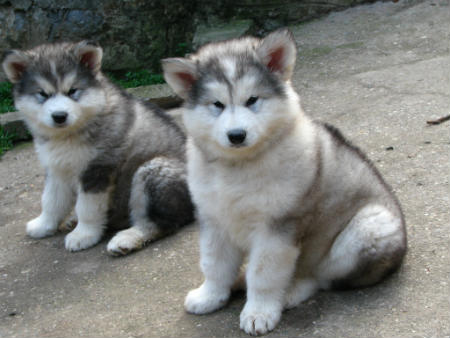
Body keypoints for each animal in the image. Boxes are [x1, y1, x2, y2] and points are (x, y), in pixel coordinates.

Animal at [2, 41, 195, 254]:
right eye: (43, 94)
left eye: (72, 91)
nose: (59, 116)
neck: (69, 134)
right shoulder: (57, 168)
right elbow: (51, 200)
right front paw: (44, 224)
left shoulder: (98, 169)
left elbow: (87, 207)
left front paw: (83, 235)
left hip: (153, 169)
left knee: (161, 222)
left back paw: (127, 238)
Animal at [163, 29, 408, 336]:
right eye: (217, 105)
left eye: (252, 100)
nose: (236, 135)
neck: (239, 167)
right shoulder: (214, 219)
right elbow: (214, 264)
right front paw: (210, 296)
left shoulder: (277, 227)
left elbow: (263, 274)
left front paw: (258, 313)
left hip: (368, 229)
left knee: (321, 277)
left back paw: (290, 292)